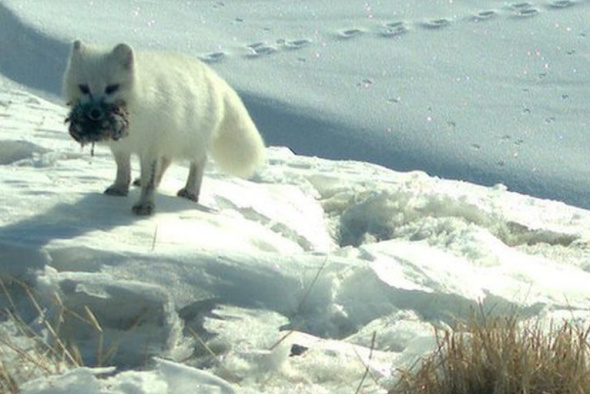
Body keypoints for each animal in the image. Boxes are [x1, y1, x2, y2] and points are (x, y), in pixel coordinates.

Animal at [61, 40, 264, 215]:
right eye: (84, 88)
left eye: (111, 88)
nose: (95, 113)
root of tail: (215, 78)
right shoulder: (122, 146)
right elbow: (123, 169)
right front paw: (119, 188)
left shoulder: (150, 147)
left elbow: (149, 182)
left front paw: (145, 206)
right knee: (167, 160)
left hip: (189, 142)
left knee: (199, 161)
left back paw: (191, 191)